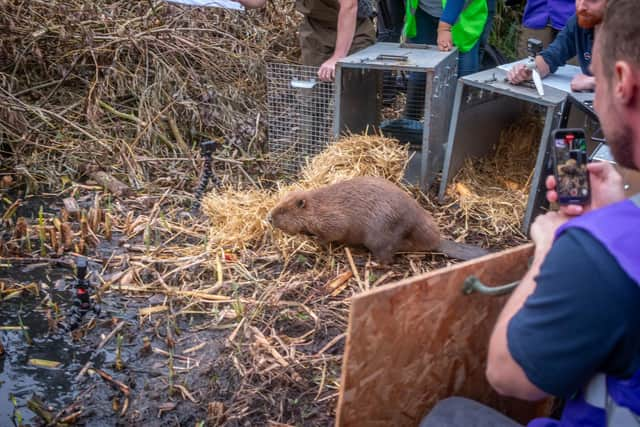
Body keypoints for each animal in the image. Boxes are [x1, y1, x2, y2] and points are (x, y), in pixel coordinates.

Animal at [268, 176, 488, 264]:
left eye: (283, 211)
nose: (269, 218)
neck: (317, 204)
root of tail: (437, 241)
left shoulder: (332, 217)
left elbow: (333, 232)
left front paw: (316, 241)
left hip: (379, 236)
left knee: (388, 259)